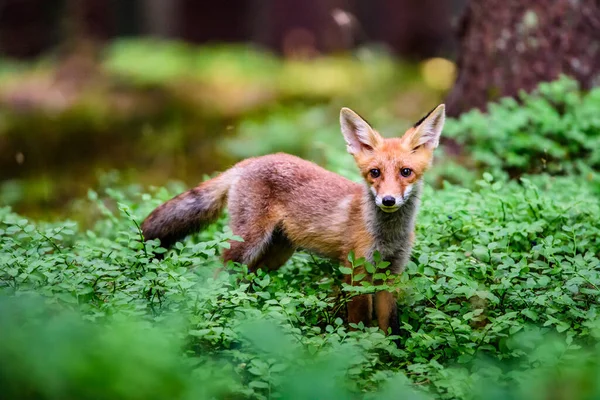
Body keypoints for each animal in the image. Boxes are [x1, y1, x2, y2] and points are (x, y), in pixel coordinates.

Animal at [142, 104, 446, 342]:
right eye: (375, 173)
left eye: (406, 172)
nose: (388, 200)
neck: (387, 236)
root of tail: (249, 161)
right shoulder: (355, 271)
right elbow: (359, 322)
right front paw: (360, 354)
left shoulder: (391, 274)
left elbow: (390, 326)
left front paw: (389, 357)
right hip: (247, 245)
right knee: (218, 275)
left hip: (275, 254)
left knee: (250, 281)